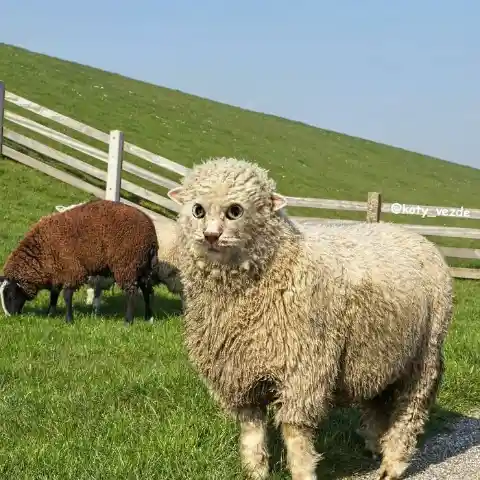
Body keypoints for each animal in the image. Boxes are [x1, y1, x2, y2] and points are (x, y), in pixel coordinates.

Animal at [0, 197, 160, 324]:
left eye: (10, 294)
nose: (9, 317)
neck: (42, 250)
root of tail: (151, 232)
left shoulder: (72, 269)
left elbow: (66, 295)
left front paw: (69, 320)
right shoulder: (57, 271)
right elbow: (54, 294)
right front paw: (50, 313)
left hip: (127, 264)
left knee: (132, 292)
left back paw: (128, 321)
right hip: (142, 265)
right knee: (147, 290)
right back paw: (149, 318)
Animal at [166, 158, 454, 480]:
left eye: (235, 211)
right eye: (198, 210)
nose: (211, 236)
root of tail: (414, 235)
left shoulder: (304, 368)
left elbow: (295, 432)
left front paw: (302, 470)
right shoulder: (239, 372)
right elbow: (251, 429)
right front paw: (256, 470)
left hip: (425, 351)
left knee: (410, 408)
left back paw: (393, 462)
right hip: (380, 351)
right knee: (378, 400)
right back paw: (374, 445)